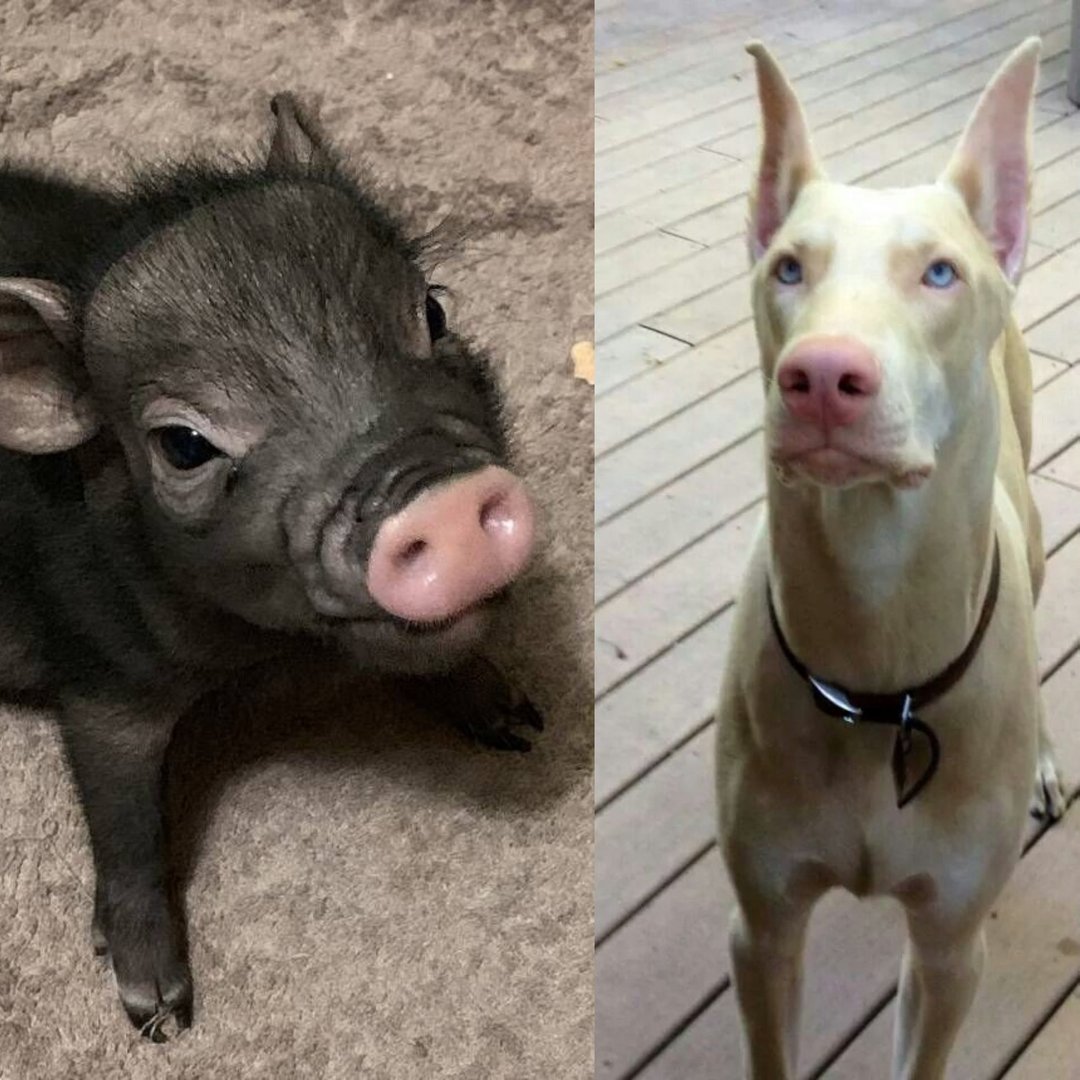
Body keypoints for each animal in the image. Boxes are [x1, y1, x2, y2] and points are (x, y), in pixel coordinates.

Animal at [0, 95, 542, 1040]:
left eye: (433, 313)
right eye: (184, 445)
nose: (436, 499)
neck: (271, 651)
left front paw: (520, 722)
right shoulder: (102, 680)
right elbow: (125, 820)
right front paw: (157, 1014)